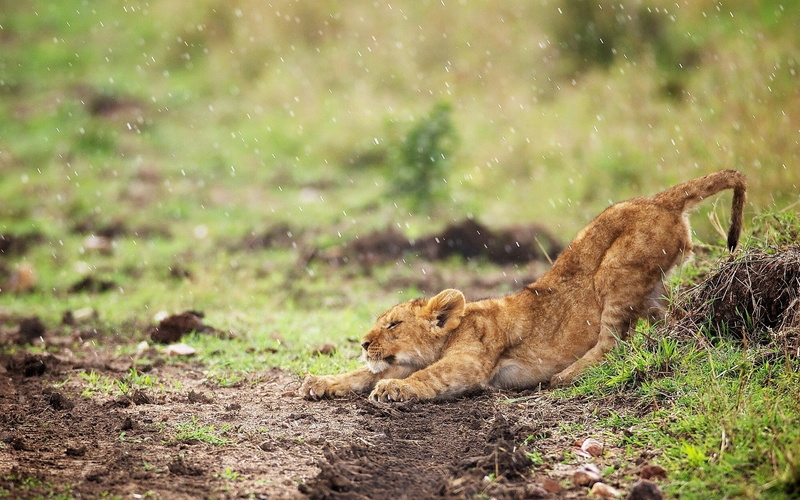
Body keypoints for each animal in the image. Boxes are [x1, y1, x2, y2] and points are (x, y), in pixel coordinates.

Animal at [301, 170, 746, 402]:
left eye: (393, 325)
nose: (362, 342)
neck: (455, 330)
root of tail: (660, 199)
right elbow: (360, 375)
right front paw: (322, 382)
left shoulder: (471, 362)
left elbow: (427, 377)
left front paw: (393, 388)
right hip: (653, 289)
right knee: (672, 320)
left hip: (616, 270)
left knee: (613, 340)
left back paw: (565, 377)